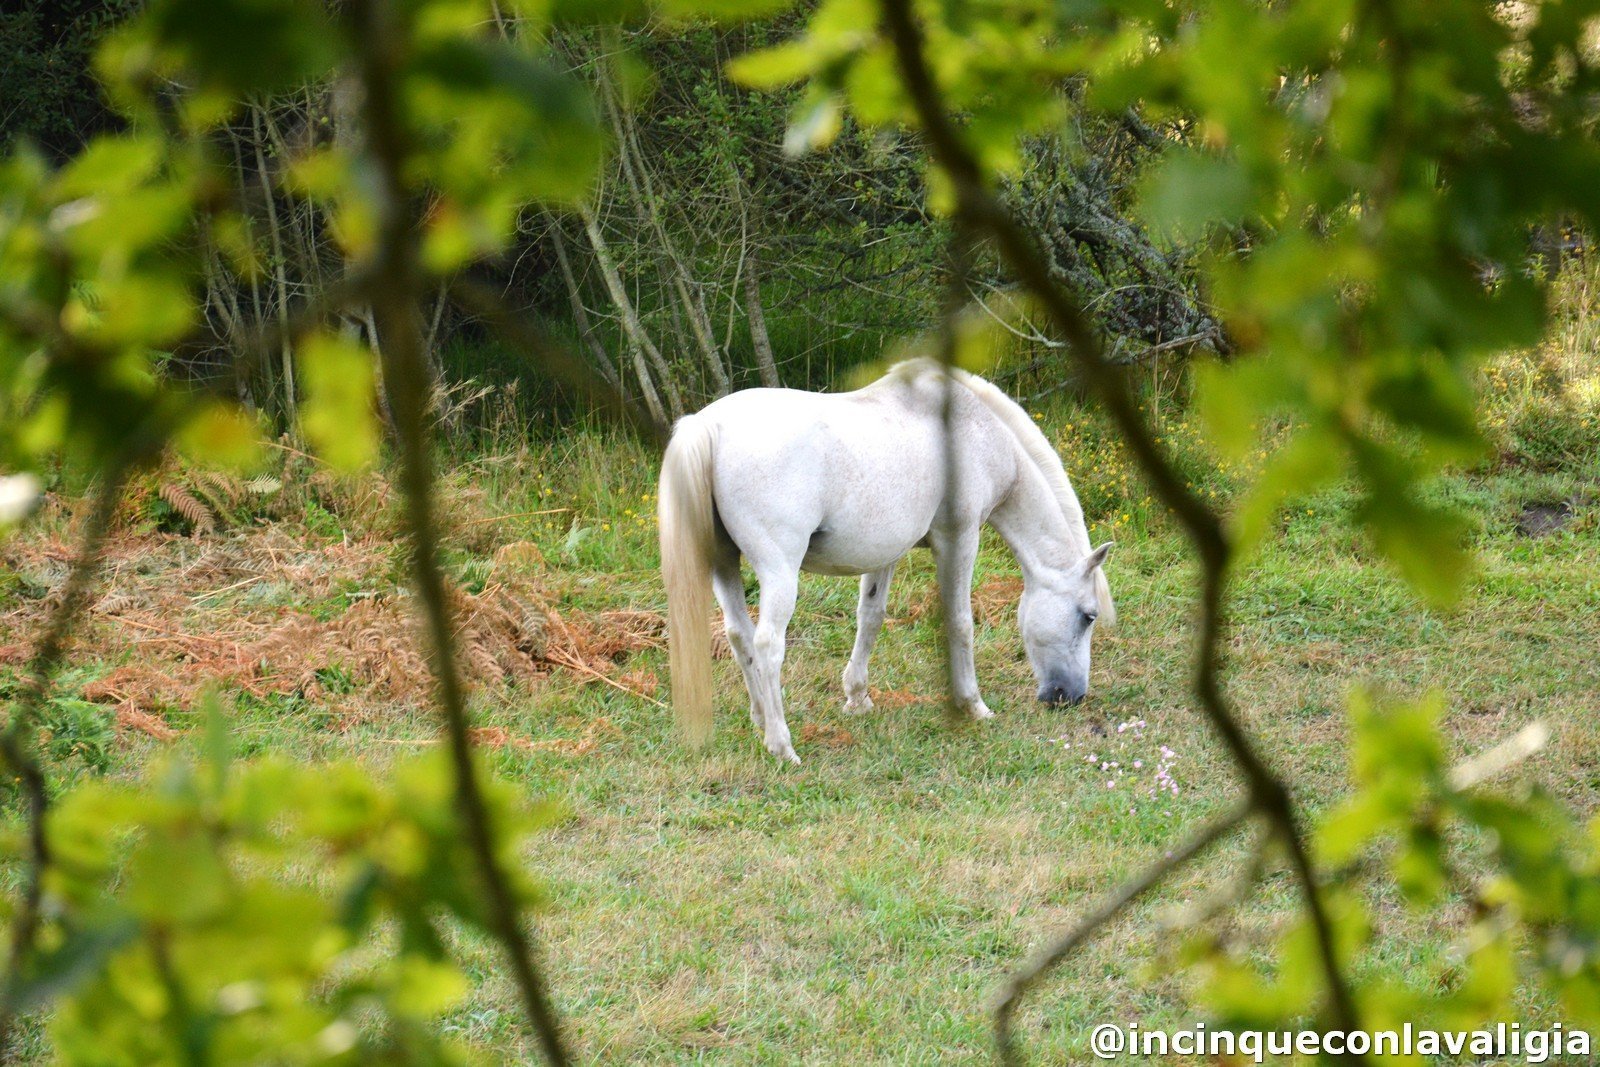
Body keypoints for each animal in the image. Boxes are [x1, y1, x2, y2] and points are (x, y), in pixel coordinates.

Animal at [657, 357, 1114, 764]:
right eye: (1087, 615)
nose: (1070, 697)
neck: (977, 432)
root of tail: (709, 425)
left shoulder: (886, 552)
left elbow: (871, 618)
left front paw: (857, 697)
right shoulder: (960, 539)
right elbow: (960, 622)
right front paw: (974, 706)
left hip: (724, 564)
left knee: (739, 636)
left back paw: (760, 719)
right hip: (778, 572)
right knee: (767, 643)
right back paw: (782, 745)